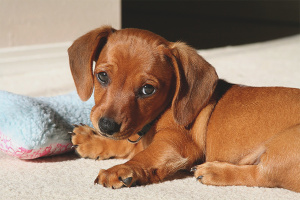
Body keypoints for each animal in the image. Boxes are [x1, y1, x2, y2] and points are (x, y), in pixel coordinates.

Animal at [68, 25, 300, 191]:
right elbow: (127, 143)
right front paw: (92, 140)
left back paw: (215, 171)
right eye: (102, 76)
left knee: (263, 175)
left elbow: (145, 156)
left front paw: (122, 169)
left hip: (284, 146)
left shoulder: (175, 144)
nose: (106, 126)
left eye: (147, 89)